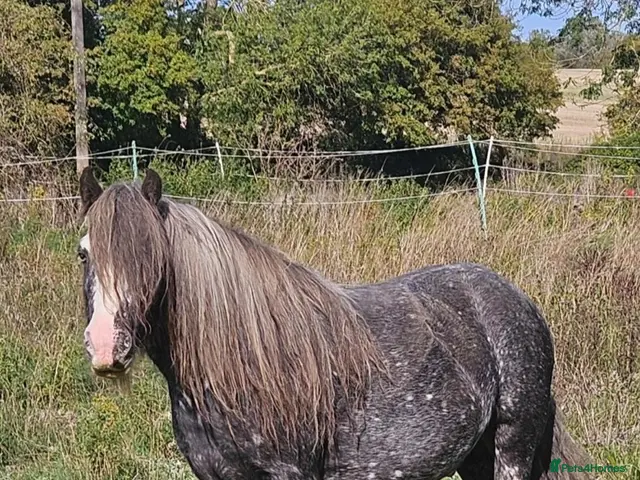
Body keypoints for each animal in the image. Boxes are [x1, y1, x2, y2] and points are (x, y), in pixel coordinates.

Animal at [76, 166, 593, 480]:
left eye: (152, 260)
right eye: (84, 253)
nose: (105, 346)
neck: (241, 363)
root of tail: (517, 299)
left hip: (512, 446)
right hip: (477, 455)